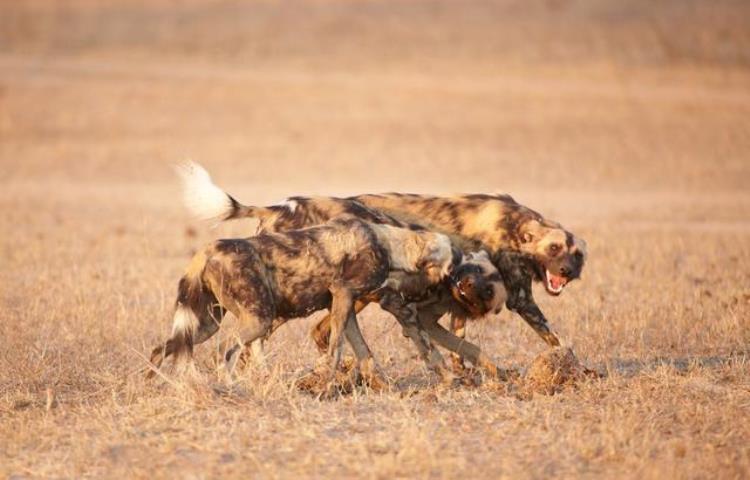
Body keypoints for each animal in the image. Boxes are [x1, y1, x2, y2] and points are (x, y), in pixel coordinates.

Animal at [144, 218, 456, 390]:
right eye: (451, 268)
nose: (456, 283)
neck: (389, 244)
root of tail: (208, 249)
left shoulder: (343, 307)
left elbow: (364, 353)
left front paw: (381, 387)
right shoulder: (343, 294)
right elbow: (336, 351)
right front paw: (327, 386)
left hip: (205, 325)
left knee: (163, 347)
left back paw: (151, 383)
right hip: (258, 321)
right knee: (224, 352)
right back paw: (230, 388)